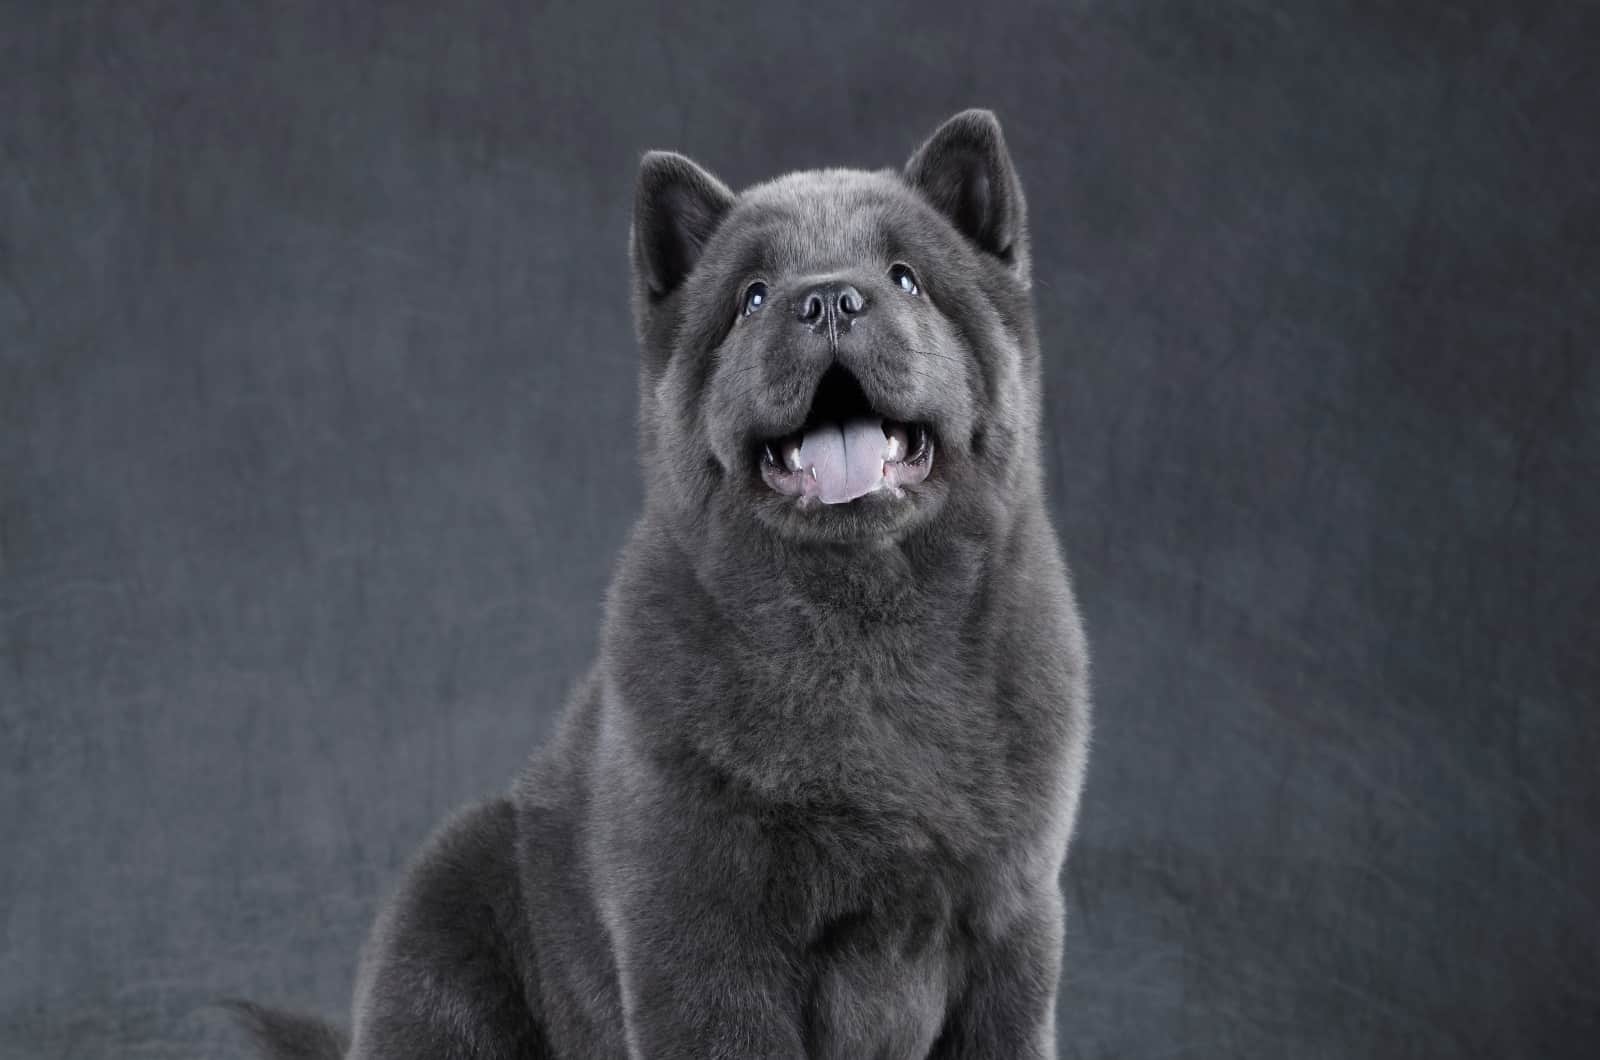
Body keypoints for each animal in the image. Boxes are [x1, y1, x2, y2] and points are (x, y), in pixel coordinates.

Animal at [232, 109, 1094, 1060]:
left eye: (906, 277)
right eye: (752, 295)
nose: (829, 297)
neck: (864, 627)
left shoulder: (1013, 919)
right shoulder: (700, 927)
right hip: (447, 900)